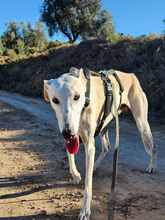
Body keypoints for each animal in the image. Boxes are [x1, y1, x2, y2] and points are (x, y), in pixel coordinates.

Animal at [43, 68, 157, 219]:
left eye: (76, 96)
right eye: (55, 100)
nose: (68, 133)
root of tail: (132, 76)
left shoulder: (88, 145)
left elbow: (88, 185)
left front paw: (85, 210)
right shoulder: (67, 132)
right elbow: (70, 155)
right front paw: (76, 175)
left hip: (141, 123)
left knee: (154, 146)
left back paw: (151, 167)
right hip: (104, 125)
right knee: (107, 147)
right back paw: (95, 165)